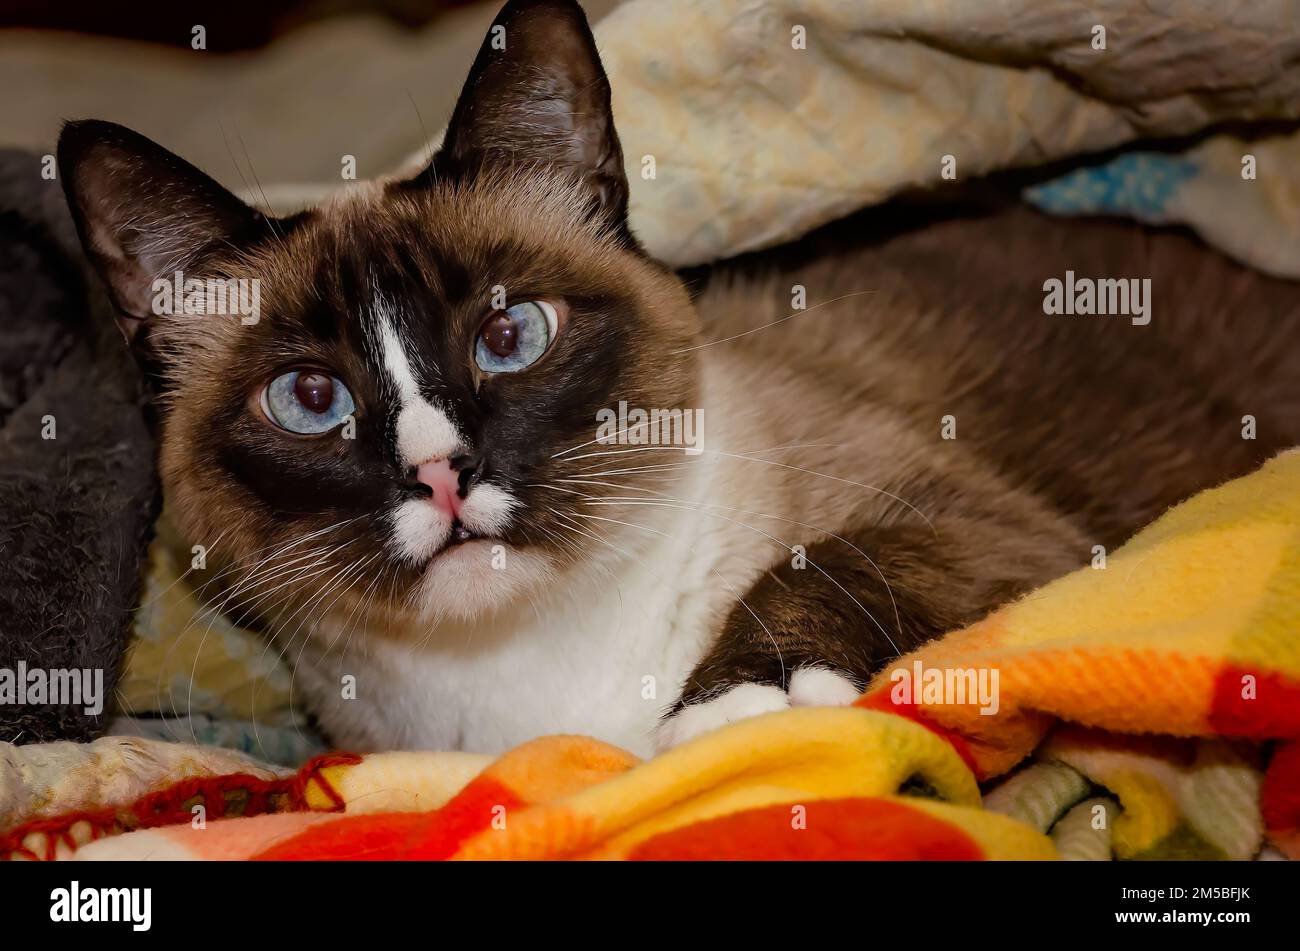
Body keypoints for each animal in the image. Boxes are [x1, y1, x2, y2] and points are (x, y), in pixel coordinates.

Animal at [58, 0, 1300, 758]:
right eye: (311, 401)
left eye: (509, 334)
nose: (442, 476)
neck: (533, 678)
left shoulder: (1007, 537)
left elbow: (832, 559)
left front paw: (739, 714)